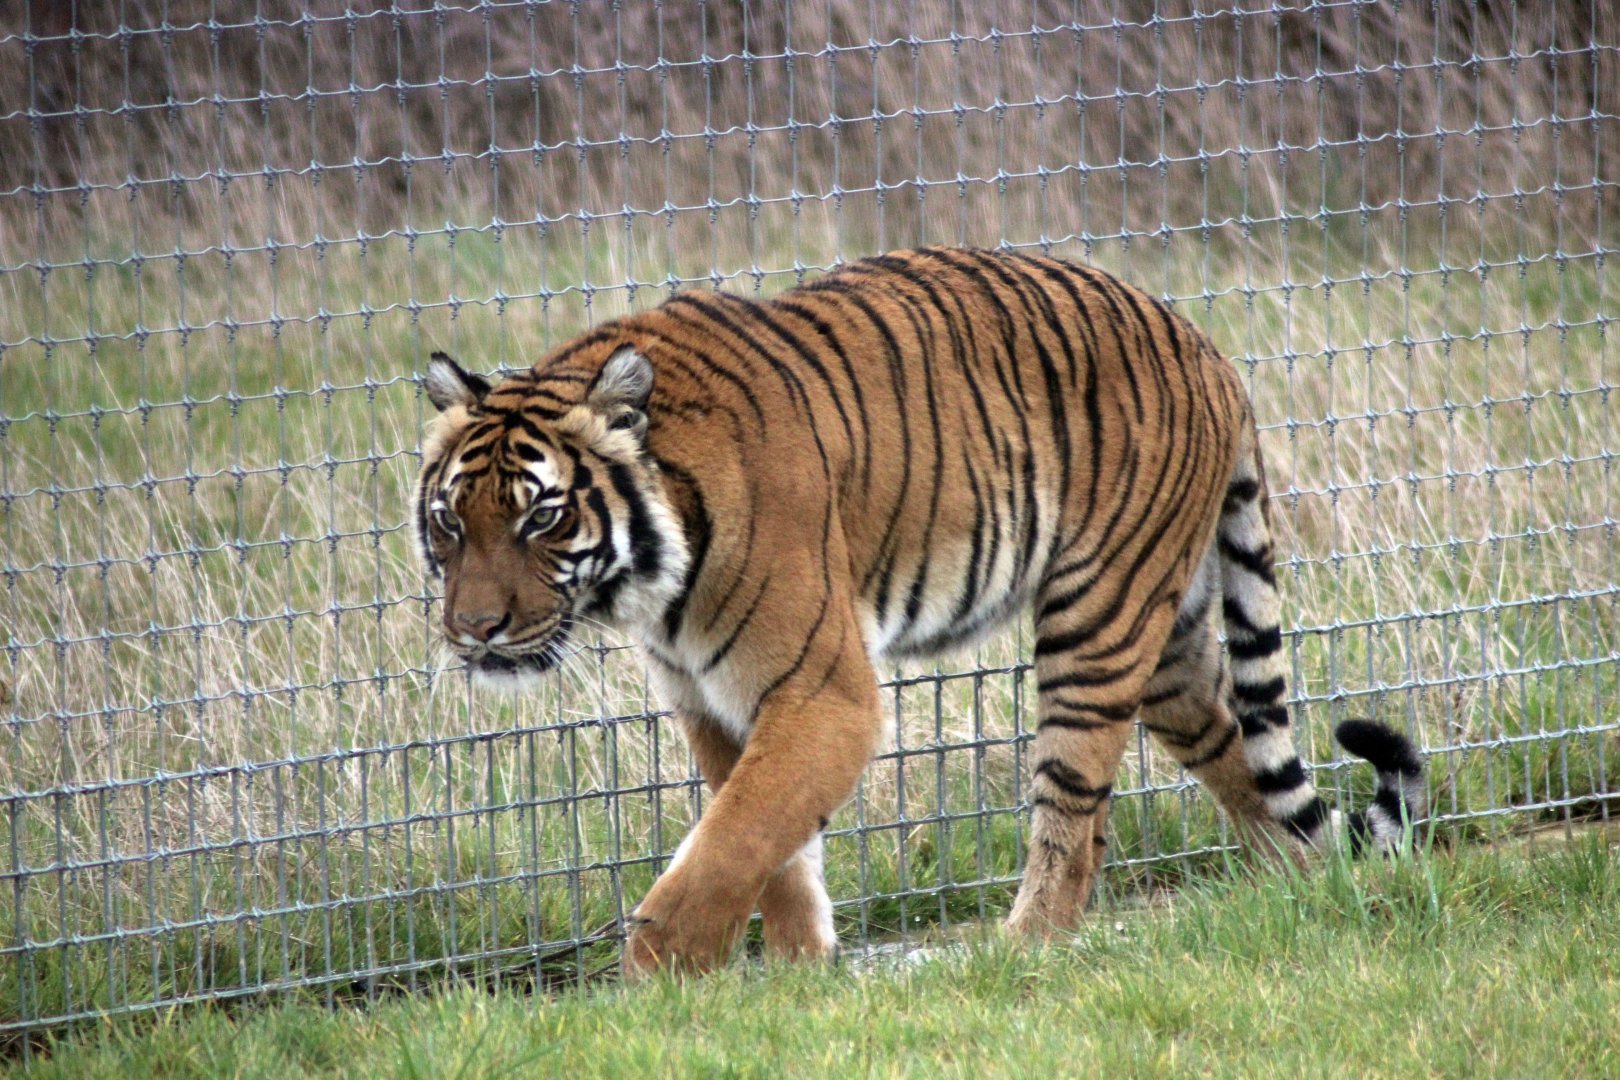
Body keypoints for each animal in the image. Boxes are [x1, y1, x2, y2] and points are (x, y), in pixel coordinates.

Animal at [413, 246, 1426, 978]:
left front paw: (659, 986)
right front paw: (798, 978)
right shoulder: (713, 704)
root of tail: (1204, 342)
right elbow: (772, 849)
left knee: (1073, 813)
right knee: (1238, 753)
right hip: (1171, 642)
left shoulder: (823, 695)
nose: (473, 632)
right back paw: (1297, 900)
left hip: (1095, 622)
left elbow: (728, 845)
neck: (650, 581)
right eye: (450, 523)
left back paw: (1023, 950)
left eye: (542, 518)